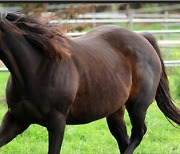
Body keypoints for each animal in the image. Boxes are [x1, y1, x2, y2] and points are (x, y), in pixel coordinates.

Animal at [0, 12, 179, 153]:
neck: (35, 68)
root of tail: (142, 38)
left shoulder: (57, 122)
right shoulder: (17, 119)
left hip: (138, 106)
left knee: (138, 133)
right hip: (115, 110)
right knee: (125, 140)